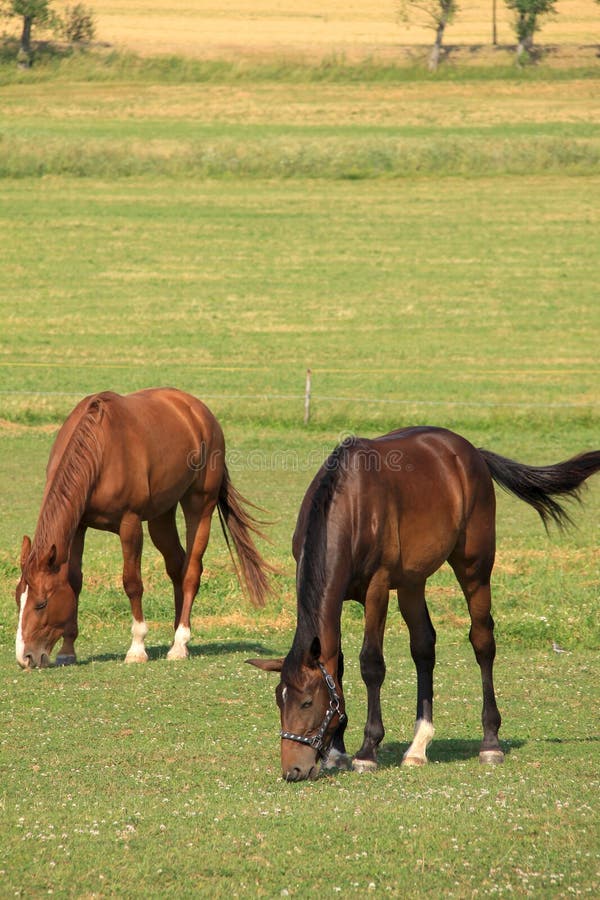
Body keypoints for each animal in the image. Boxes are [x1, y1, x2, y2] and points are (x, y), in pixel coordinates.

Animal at [15, 386, 270, 668]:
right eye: (17, 599)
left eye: (41, 603)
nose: (25, 657)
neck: (99, 449)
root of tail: (200, 411)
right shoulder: (79, 525)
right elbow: (74, 581)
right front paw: (68, 650)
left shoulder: (130, 524)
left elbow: (132, 583)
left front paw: (137, 648)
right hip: (162, 516)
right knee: (177, 566)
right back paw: (177, 634)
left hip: (200, 506)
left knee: (192, 571)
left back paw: (180, 643)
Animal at [250, 428, 600, 780]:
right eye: (279, 701)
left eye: (307, 702)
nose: (293, 769)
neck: (350, 503)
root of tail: (472, 453)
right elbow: (339, 666)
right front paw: (337, 751)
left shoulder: (377, 588)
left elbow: (371, 664)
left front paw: (367, 751)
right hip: (412, 583)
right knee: (423, 646)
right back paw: (418, 746)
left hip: (474, 568)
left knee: (482, 641)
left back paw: (490, 743)